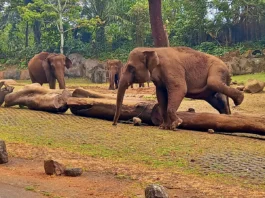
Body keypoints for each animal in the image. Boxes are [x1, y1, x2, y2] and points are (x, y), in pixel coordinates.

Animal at [111, 46, 243, 130]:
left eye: (131, 68)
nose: (114, 124)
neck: (153, 49)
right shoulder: (159, 80)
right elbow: (161, 94)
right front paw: (164, 127)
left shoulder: (172, 68)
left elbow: (180, 88)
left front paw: (177, 124)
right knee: (217, 98)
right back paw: (226, 115)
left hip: (217, 68)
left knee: (213, 82)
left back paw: (239, 100)